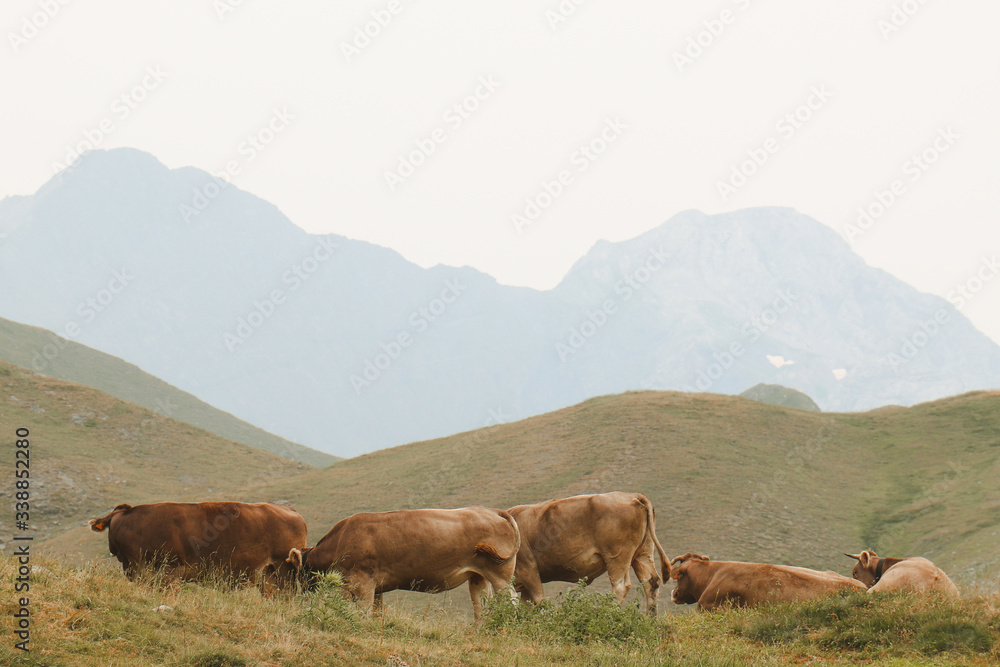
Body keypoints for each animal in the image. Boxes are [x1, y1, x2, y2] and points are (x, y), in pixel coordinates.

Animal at [88, 504, 306, 592]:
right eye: (109, 526)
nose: (113, 547)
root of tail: (290, 510)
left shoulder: (169, 571)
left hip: (283, 570)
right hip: (268, 577)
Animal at [286, 508, 520, 624]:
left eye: (298, 574)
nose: (299, 596)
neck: (341, 540)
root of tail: (492, 510)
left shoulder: (362, 583)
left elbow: (362, 611)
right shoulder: (375, 588)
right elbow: (376, 611)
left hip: (501, 575)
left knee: (512, 600)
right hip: (477, 576)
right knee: (481, 606)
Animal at [508, 490, 672, 616]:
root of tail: (633, 496)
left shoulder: (528, 570)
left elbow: (537, 600)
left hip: (617, 557)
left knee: (620, 587)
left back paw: (609, 613)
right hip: (643, 554)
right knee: (651, 582)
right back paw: (650, 619)